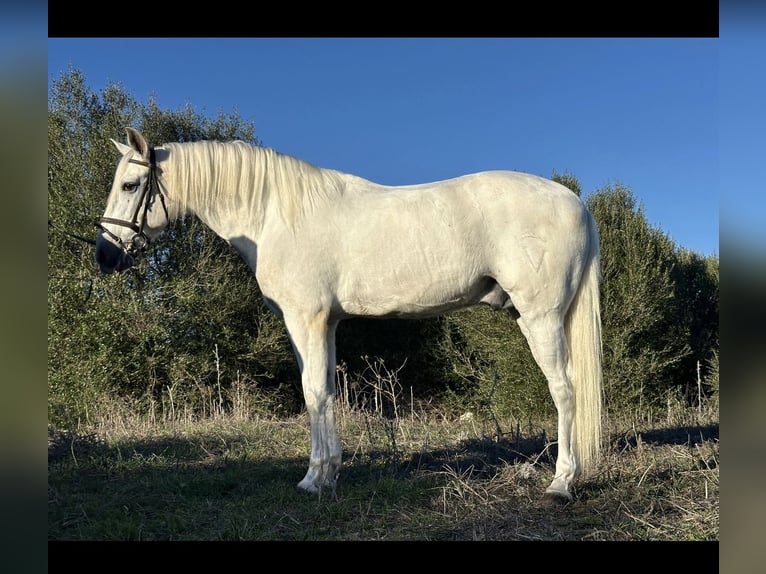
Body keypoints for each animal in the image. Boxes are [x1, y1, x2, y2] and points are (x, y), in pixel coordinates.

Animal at [95, 127, 603, 504]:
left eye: (129, 185)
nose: (104, 255)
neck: (275, 215)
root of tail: (575, 202)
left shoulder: (307, 319)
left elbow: (314, 393)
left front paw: (314, 479)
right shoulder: (325, 324)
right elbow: (323, 392)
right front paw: (328, 473)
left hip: (541, 317)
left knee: (565, 389)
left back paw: (561, 484)